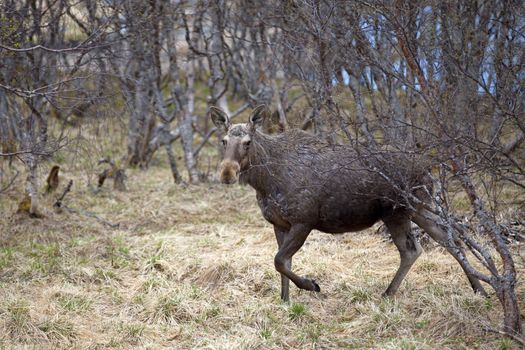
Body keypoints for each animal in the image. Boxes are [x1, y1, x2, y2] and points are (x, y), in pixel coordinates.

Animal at [208, 104, 484, 300]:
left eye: (248, 142)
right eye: (223, 141)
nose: (227, 173)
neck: (265, 182)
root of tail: (429, 169)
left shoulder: (304, 220)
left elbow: (279, 260)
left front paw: (312, 285)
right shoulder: (279, 223)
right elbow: (281, 263)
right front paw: (285, 300)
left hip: (399, 211)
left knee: (415, 248)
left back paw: (389, 293)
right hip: (417, 209)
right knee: (448, 240)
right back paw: (478, 289)